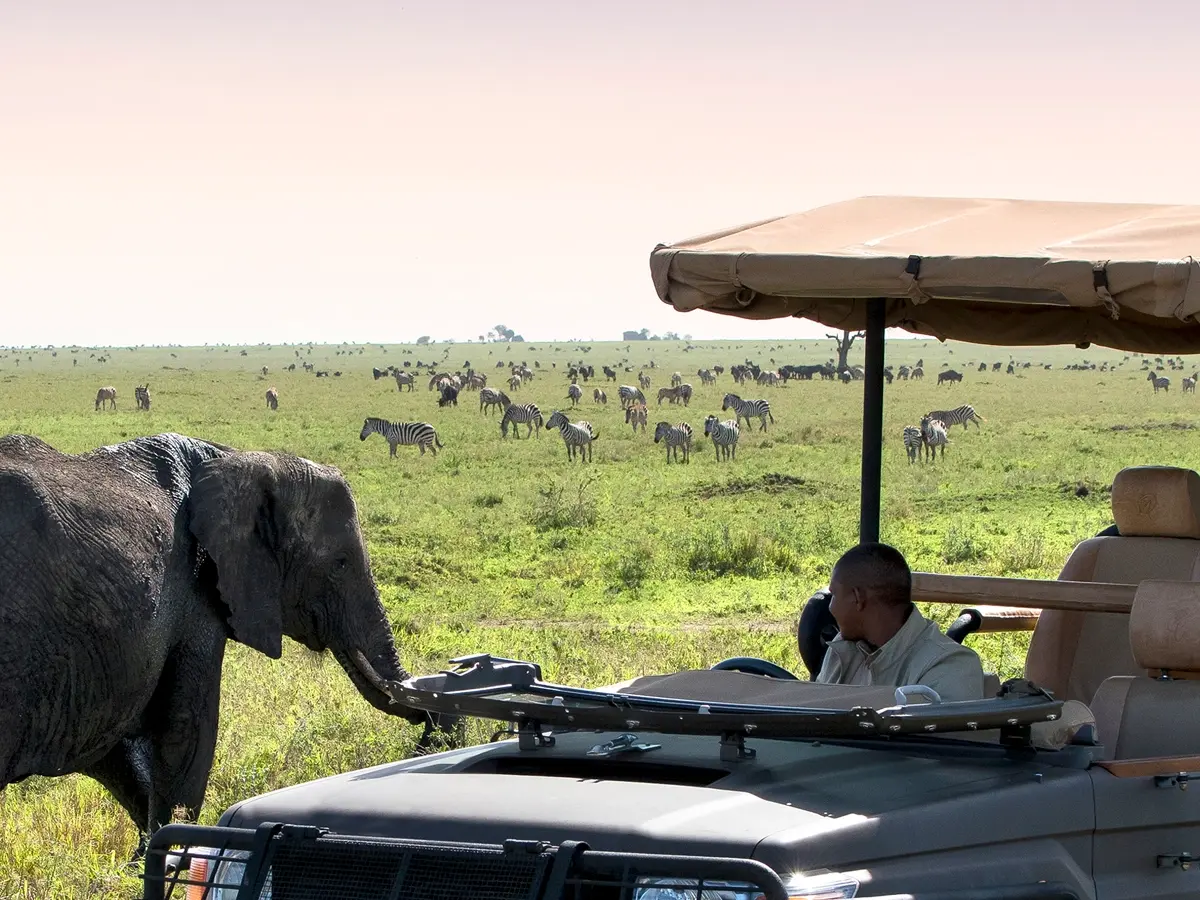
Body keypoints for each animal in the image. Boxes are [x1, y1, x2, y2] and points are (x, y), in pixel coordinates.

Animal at [0, 431, 441, 849]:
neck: (233, 457)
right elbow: (187, 733)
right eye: (340, 564)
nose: (430, 738)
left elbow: (120, 754)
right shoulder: (192, 594)